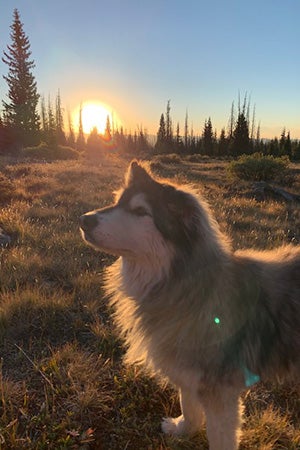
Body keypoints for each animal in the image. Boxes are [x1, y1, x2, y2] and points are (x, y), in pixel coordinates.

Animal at [79, 160, 300, 448]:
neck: (184, 285)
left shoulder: (220, 393)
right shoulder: (186, 370)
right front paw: (183, 429)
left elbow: (219, 437)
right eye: (116, 202)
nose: (84, 219)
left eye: (140, 211)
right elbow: (189, 405)